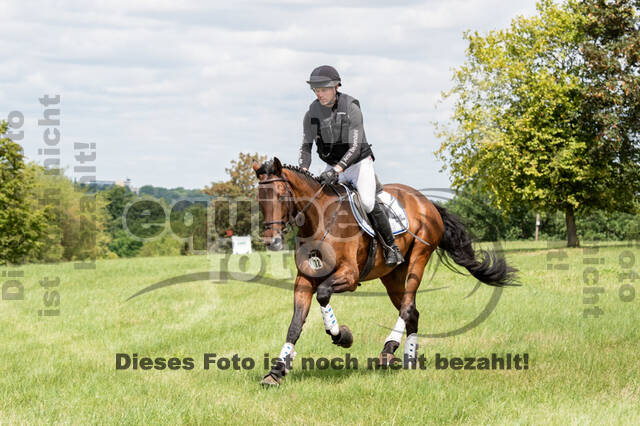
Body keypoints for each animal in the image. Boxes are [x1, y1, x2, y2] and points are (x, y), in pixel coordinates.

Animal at [252, 156, 516, 386]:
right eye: (259, 199)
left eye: (281, 195)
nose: (272, 242)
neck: (320, 221)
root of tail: (426, 201)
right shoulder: (305, 279)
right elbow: (295, 324)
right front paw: (276, 371)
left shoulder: (349, 276)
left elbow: (324, 294)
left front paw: (341, 335)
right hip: (392, 276)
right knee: (412, 312)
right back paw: (408, 357)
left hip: (418, 258)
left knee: (408, 306)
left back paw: (388, 349)